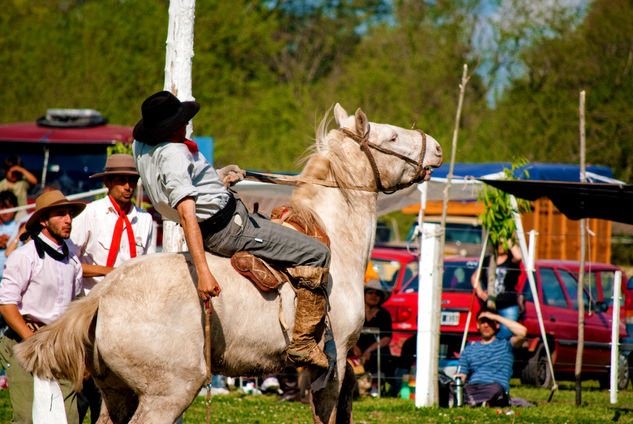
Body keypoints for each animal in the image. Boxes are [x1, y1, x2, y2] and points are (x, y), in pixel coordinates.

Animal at [14, 103, 440, 424]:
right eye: (391, 137)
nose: (435, 146)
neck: (332, 233)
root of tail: (100, 298)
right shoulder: (330, 367)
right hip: (168, 394)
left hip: (116, 391)